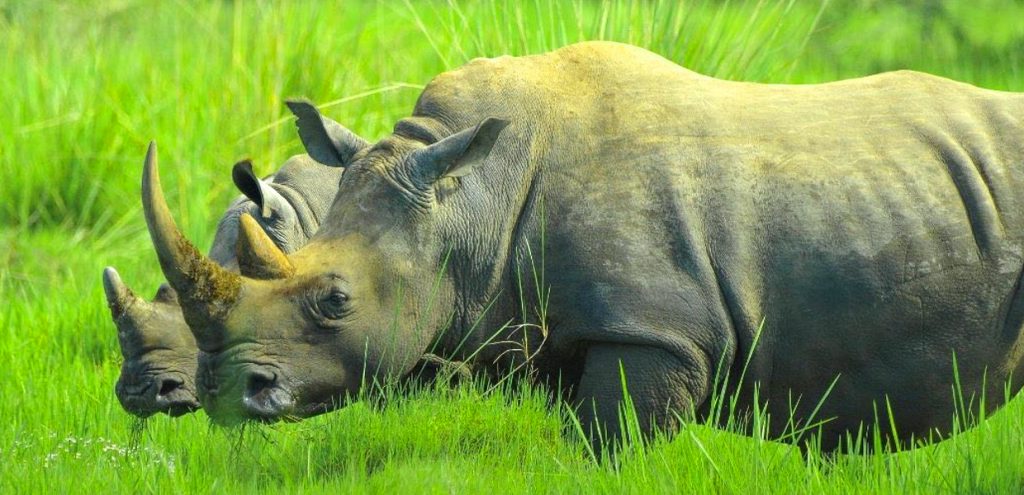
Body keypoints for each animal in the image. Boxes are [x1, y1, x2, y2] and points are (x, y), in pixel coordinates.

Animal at [140, 41, 1024, 451]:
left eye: (335, 300)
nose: (223, 392)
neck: (471, 198)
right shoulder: (557, 329)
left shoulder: (654, 332)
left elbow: (613, 444)